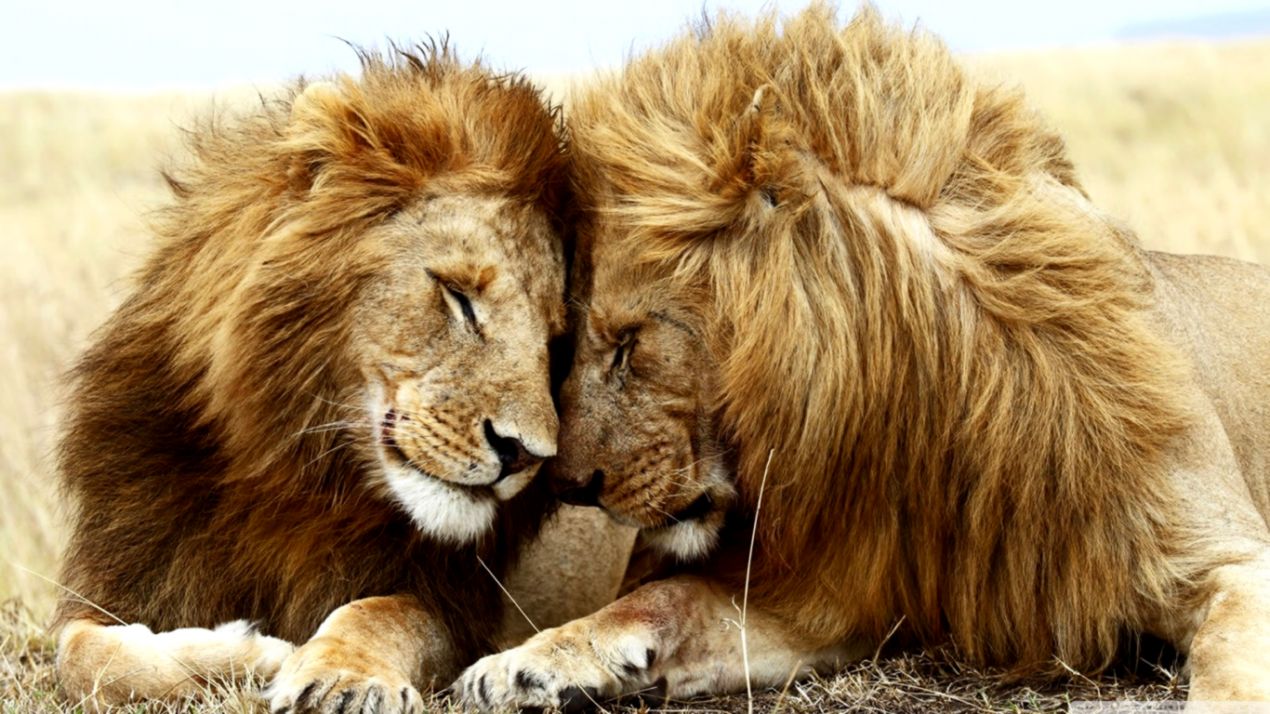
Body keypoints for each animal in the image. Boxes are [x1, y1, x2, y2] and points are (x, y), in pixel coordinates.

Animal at [52, 45, 633, 713]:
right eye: (458, 295)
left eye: (555, 341)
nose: (524, 455)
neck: (295, 471)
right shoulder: (124, 576)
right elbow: (83, 655)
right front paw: (248, 652)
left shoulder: (450, 604)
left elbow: (376, 614)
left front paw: (340, 678)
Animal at [457, 6, 1270, 708]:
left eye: (628, 342)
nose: (567, 486)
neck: (925, 398)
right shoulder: (834, 594)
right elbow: (666, 598)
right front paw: (525, 662)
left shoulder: (1230, 558)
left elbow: (1230, 665)